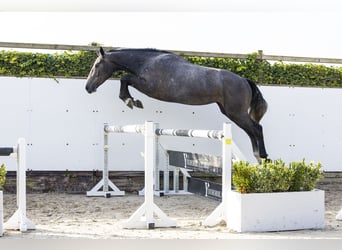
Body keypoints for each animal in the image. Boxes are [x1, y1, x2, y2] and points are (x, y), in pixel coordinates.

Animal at [85, 47, 268, 161]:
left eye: (97, 65)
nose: (88, 87)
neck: (148, 62)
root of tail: (244, 80)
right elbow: (126, 79)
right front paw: (132, 100)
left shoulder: (149, 87)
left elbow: (125, 78)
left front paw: (131, 101)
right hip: (230, 112)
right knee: (251, 131)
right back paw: (257, 156)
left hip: (236, 113)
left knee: (257, 129)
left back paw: (263, 157)